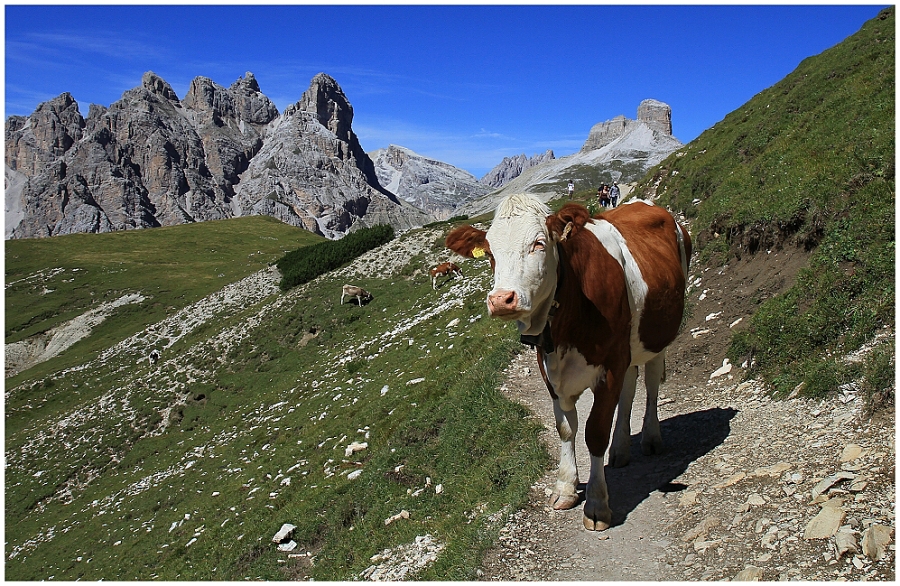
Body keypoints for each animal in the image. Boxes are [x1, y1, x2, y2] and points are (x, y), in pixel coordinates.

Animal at [446, 193, 692, 528]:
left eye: (538, 243)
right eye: (490, 252)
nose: (501, 300)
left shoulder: (610, 366)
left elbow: (595, 432)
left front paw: (597, 504)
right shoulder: (549, 368)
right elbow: (565, 428)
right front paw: (565, 487)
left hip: (657, 335)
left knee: (652, 383)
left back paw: (651, 438)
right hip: (628, 350)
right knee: (630, 387)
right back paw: (621, 449)